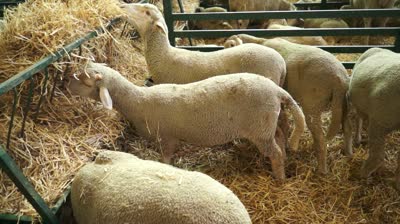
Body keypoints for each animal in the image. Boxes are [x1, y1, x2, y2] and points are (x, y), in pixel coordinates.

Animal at [69, 61, 306, 180]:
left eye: (84, 80)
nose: (65, 84)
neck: (138, 101)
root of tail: (277, 91)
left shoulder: (167, 138)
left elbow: (166, 159)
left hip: (259, 128)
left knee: (275, 152)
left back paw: (279, 178)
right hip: (267, 125)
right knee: (281, 138)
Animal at [225, 35, 354, 175]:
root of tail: (339, 78)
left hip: (313, 104)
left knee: (320, 139)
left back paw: (321, 170)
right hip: (342, 104)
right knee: (347, 128)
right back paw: (349, 154)